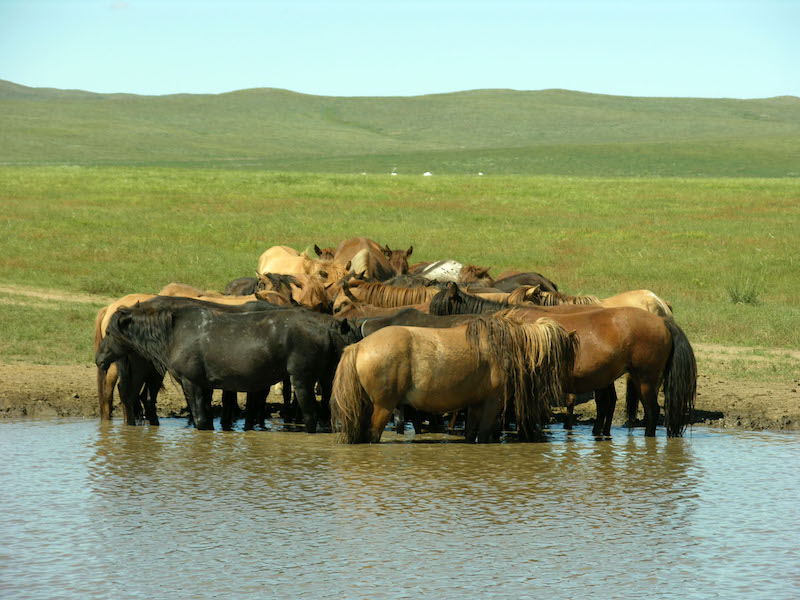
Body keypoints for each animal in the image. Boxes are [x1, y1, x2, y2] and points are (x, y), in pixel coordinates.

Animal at [328, 312, 580, 442]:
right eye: (566, 357)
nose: (570, 395)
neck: (502, 346)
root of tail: (359, 347)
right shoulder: (492, 403)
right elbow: (485, 435)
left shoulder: (476, 404)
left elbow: (470, 434)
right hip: (382, 407)